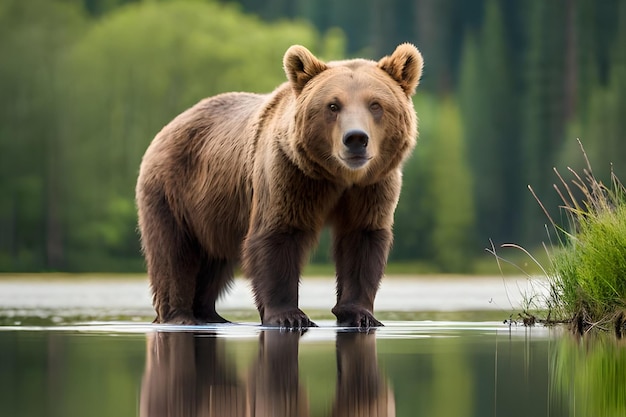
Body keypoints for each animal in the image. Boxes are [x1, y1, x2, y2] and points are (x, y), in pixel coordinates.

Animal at [135, 43, 420, 328]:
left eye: (375, 104)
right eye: (333, 105)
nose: (356, 139)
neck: (337, 178)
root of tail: (168, 126)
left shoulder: (371, 187)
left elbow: (361, 241)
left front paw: (360, 315)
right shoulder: (290, 175)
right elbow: (278, 235)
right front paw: (290, 316)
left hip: (214, 212)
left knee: (214, 260)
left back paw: (211, 315)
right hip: (172, 191)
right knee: (174, 255)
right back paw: (180, 316)